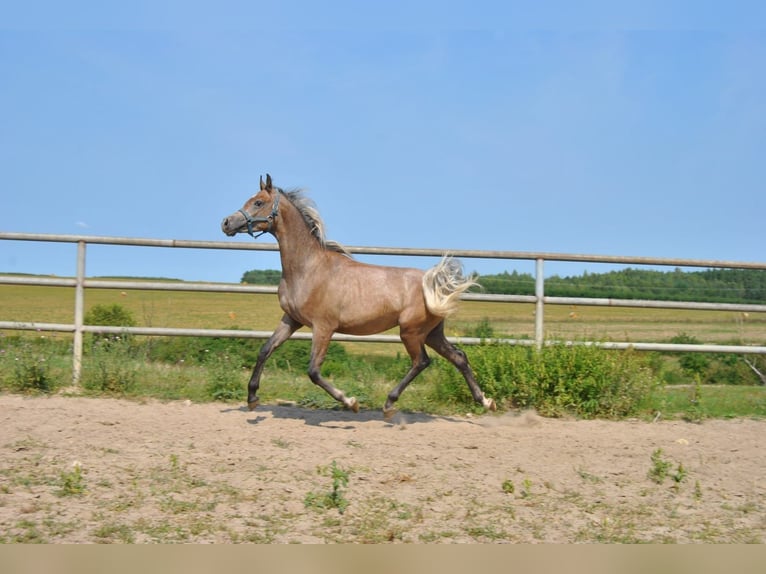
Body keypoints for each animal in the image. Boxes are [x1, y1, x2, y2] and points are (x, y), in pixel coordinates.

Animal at [222, 173, 498, 420]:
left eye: (258, 202)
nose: (226, 223)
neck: (308, 268)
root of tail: (433, 284)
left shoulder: (323, 327)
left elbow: (313, 371)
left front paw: (350, 402)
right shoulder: (292, 320)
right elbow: (265, 350)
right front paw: (252, 399)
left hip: (410, 332)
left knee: (421, 362)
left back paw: (389, 405)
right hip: (431, 333)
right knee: (459, 357)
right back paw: (486, 401)